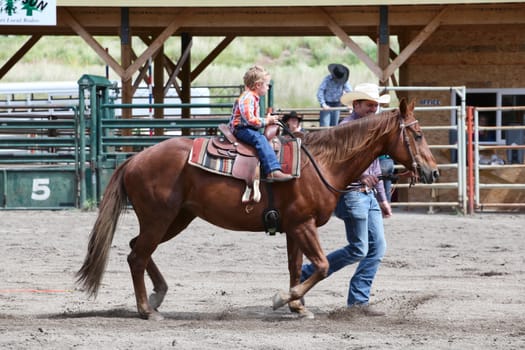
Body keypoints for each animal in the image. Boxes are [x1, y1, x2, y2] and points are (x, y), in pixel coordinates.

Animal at [75, 98, 438, 320]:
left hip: (176, 218)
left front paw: (298, 306)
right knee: (137, 256)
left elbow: (297, 267)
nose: (433, 172)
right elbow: (321, 266)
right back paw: (147, 309)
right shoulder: (303, 225)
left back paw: (158, 295)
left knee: (137, 249)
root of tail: (135, 159)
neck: (321, 162)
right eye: (419, 134)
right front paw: (283, 299)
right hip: (159, 218)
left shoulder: (294, 227)